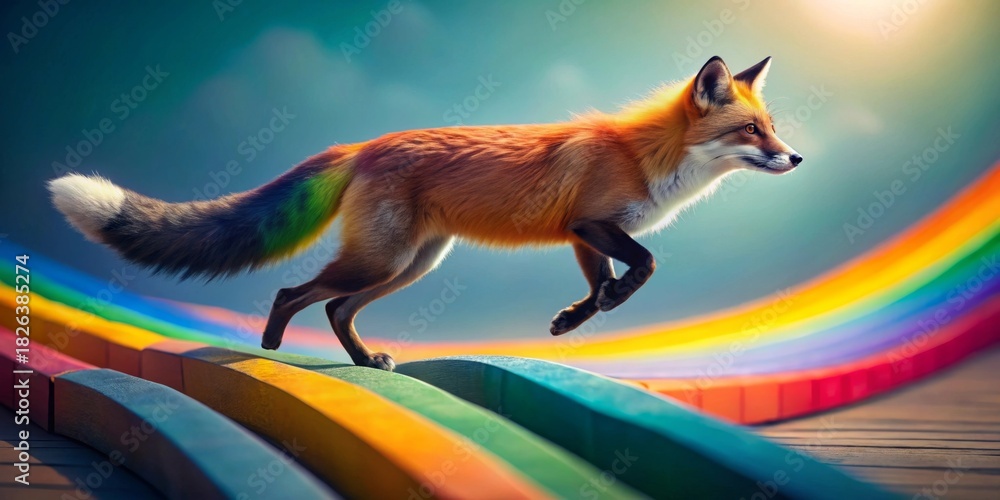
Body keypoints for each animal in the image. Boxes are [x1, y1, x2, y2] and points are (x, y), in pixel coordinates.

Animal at [49, 56, 801, 371]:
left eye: (771, 127)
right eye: (751, 131)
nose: (796, 159)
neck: (650, 157)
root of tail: (364, 144)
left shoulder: (581, 234)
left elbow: (601, 283)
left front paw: (574, 318)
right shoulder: (593, 222)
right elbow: (644, 264)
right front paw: (607, 304)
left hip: (410, 265)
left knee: (334, 308)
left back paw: (359, 360)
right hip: (381, 259)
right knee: (295, 292)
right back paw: (268, 346)